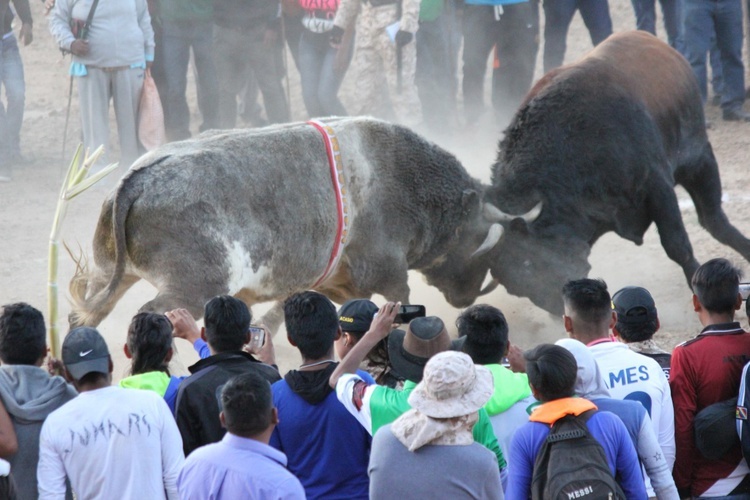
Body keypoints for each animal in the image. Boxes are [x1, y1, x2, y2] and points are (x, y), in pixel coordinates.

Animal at [66, 116, 536, 328]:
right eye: (477, 244)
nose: (467, 297)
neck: (404, 179)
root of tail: (137, 177)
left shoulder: (326, 284)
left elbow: (273, 320)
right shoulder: (389, 277)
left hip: (108, 277)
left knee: (85, 317)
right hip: (191, 290)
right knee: (151, 316)